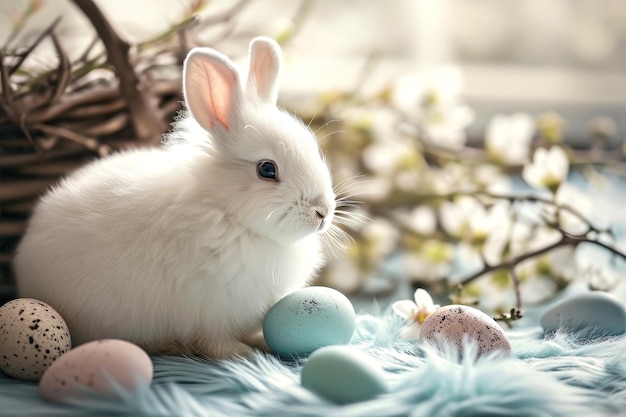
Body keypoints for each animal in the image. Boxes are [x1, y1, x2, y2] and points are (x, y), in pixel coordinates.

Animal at [12, 38, 338, 358]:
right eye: (267, 169)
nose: (322, 212)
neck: (226, 212)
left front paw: (257, 340)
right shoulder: (210, 310)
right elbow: (214, 342)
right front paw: (241, 351)